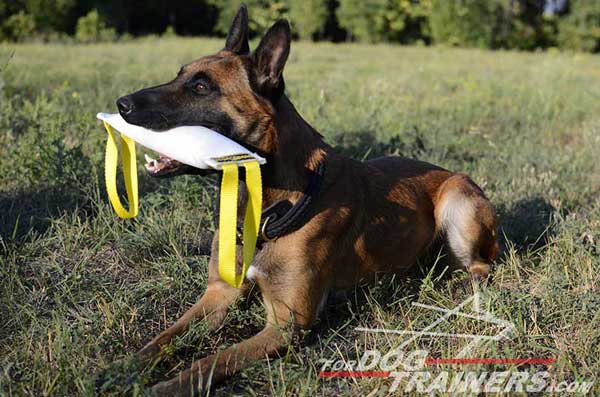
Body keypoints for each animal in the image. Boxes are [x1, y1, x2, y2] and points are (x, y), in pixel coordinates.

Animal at [115, 4, 500, 394]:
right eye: (180, 75)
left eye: (201, 87)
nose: (122, 104)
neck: (270, 206)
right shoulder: (218, 293)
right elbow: (165, 337)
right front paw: (122, 367)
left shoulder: (285, 325)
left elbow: (212, 361)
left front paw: (163, 387)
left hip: (457, 201)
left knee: (482, 266)